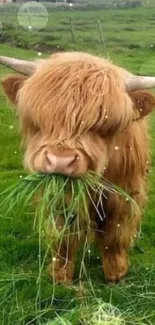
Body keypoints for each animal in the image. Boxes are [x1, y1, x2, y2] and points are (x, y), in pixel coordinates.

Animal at [1, 52, 155, 282]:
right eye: (40, 120)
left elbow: (115, 232)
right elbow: (63, 234)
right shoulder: (59, 197)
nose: (60, 160)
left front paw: (115, 272)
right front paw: (60, 275)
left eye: (104, 125)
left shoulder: (124, 193)